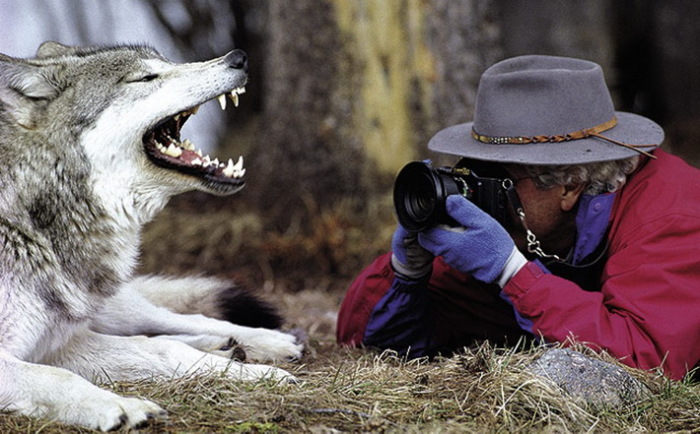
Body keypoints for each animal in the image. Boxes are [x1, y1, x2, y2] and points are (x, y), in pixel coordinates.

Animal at [2, 43, 304, 430]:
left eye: (165, 63)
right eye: (146, 78)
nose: (238, 57)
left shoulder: (56, 343)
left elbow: (161, 348)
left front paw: (259, 376)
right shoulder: (46, 350)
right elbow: (59, 376)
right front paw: (122, 407)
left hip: (113, 308)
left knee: (173, 322)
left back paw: (263, 342)